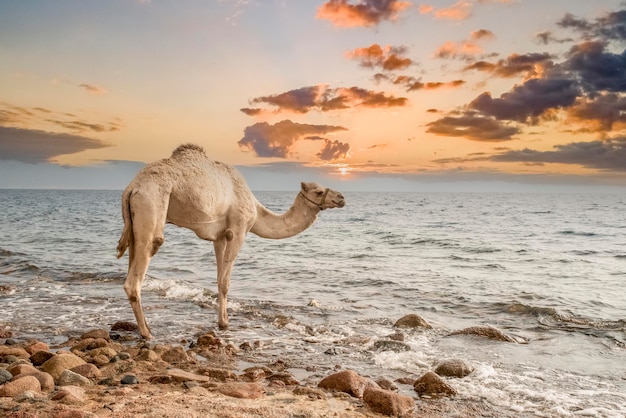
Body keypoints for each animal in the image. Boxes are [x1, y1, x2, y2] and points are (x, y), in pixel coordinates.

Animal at [117, 144, 346, 340]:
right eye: (318, 191)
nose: (341, 197)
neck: (256, 209)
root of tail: (131, 188)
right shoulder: (238, 229)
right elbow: (226, 282)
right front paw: (225, 324)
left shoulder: (219, 237)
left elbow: (219, 279)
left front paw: (222, 321)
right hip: (151, 204)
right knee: (138, 272)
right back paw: (147, 333)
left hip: (135, 224)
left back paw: (145, 328)